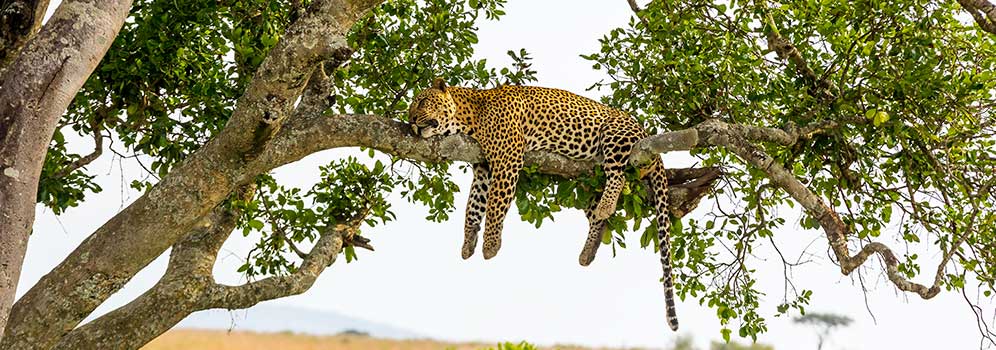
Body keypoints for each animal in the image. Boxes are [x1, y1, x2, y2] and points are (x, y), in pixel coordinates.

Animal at [408, 77, 680, 330]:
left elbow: (495, 205)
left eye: (422, 101)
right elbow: (473, 208)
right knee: (597, 216)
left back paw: (606, 206)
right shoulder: (483, 168)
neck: (469, 116)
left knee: (619, 175)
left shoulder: (507, 160)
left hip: (615, 135)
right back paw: (589, 249)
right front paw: (468, 243)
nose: (410, 120)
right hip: (587, 181)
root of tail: (644, 131)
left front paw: (490, 245)